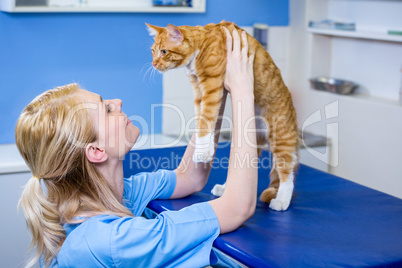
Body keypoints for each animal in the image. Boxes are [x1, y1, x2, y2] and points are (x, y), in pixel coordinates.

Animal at [147, 22, 298, 210]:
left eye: (164, 51)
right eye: (153, 51)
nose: (153, 63)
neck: (201, 45)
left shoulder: (211, 86)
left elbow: (205, 121)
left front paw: (202, 151)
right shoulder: (199, 91)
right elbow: (203, 121)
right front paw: (207, 148)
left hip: (281, 138)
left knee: (287, 173)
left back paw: (282, 200)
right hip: (245, 138)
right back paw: (225, 189)